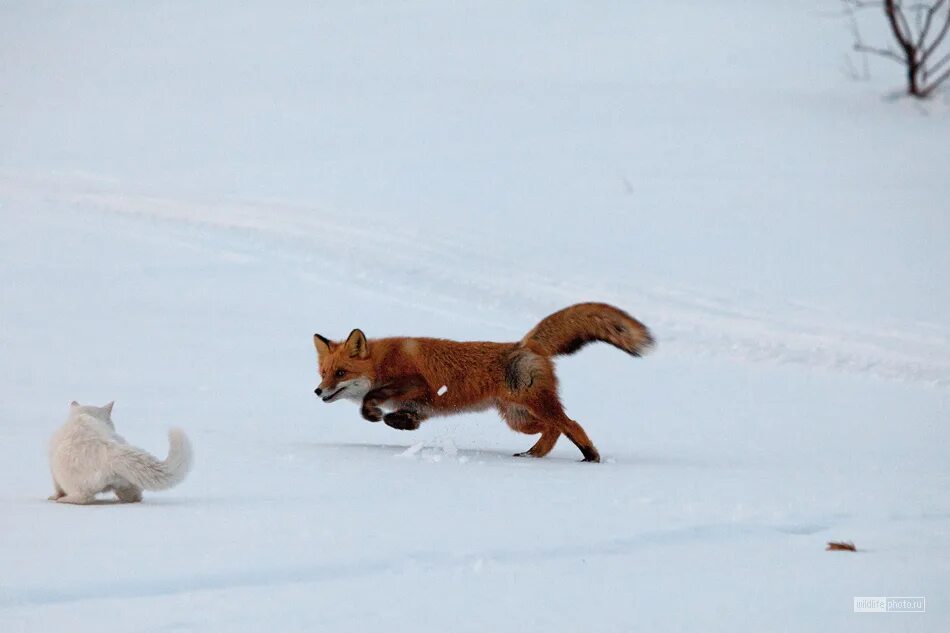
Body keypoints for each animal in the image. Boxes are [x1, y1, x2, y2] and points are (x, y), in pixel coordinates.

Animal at [49, 400, 194, 504]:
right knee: (135, 496)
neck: (83, 416)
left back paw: (63, 500)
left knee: (83, 498)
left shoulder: (54, 474)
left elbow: (57, 488)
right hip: (127, 480)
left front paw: (54, 496)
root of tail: (109, 453)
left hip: (72, 481)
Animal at [312, 302, 656, 460]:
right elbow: (402, 416)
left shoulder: (418, 383)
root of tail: (525, 344)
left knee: (571, 424)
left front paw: (373, 413)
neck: (382, 360)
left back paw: (589, 456)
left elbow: (371, 400)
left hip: (534, 407)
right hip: (519, 419)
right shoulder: (419, 404)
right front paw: (401, 423)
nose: (317, 391)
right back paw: (533, 455)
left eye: (340, 373)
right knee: (555, 429)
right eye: (323, 372)